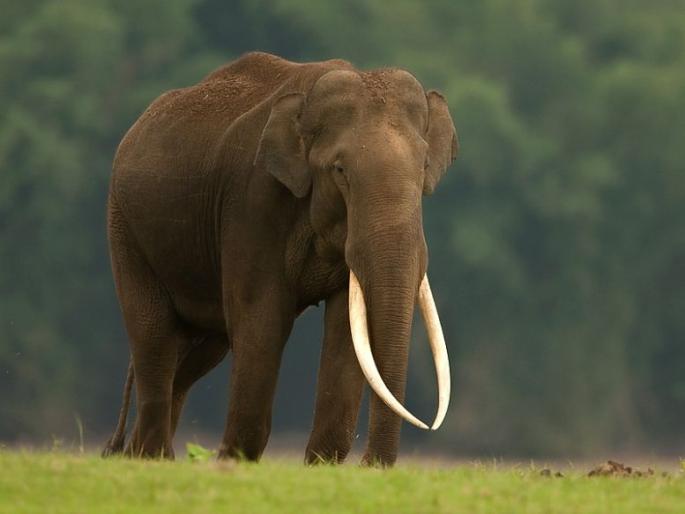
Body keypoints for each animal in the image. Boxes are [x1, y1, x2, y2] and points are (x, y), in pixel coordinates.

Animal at [102, 51, 457, 466]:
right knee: (154, 339)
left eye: (424, 168)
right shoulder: (252, 203)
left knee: (197, 353)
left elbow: (346, 329)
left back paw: (138, 454)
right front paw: (233, 462)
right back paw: (153, 456)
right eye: (340, 170)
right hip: (126, 231)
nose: (371, 465)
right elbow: (262, 320)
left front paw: (320, 466)